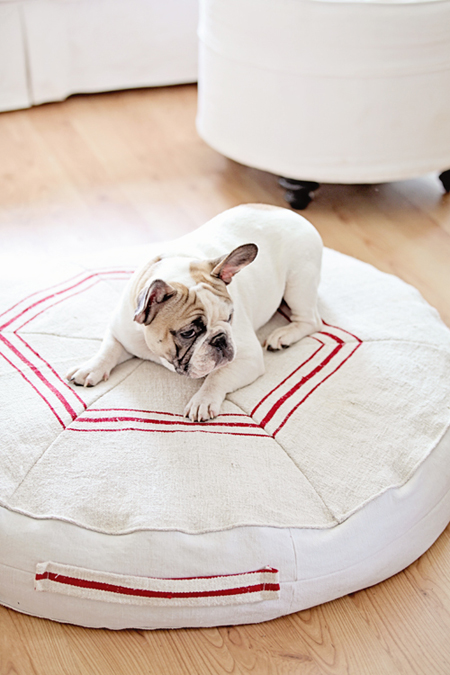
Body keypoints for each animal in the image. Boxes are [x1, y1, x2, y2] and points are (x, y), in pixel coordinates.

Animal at [67, 203, 322, 420]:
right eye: (188, 333)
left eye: (230, 317)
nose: (221, 339)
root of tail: (287, 211)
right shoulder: (120, 330)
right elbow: (108, 349)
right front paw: (91, 368)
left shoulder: (247, 357)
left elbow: (218, 376)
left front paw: (203, 400)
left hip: (298, 282)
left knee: (311, 320)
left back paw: (284, 335)